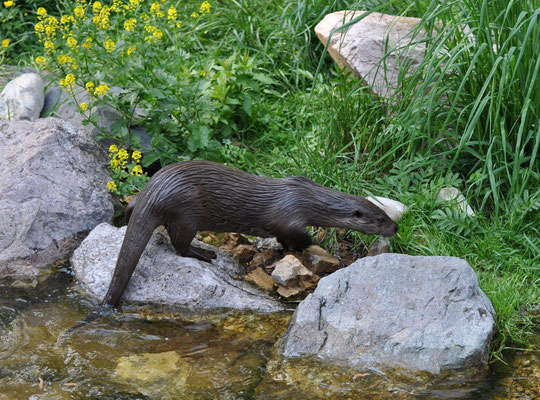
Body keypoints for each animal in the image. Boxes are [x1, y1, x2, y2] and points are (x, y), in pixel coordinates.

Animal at [101, 159, 398, 306]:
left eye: (386, 214)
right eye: (381, 219)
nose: (395, 227)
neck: (307, 198)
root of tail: (155, 192)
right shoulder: (289, 218)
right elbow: (298, 236)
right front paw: (306, 245)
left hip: (147, 199)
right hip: (186, 213)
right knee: (180, 245)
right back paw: (204, 253)